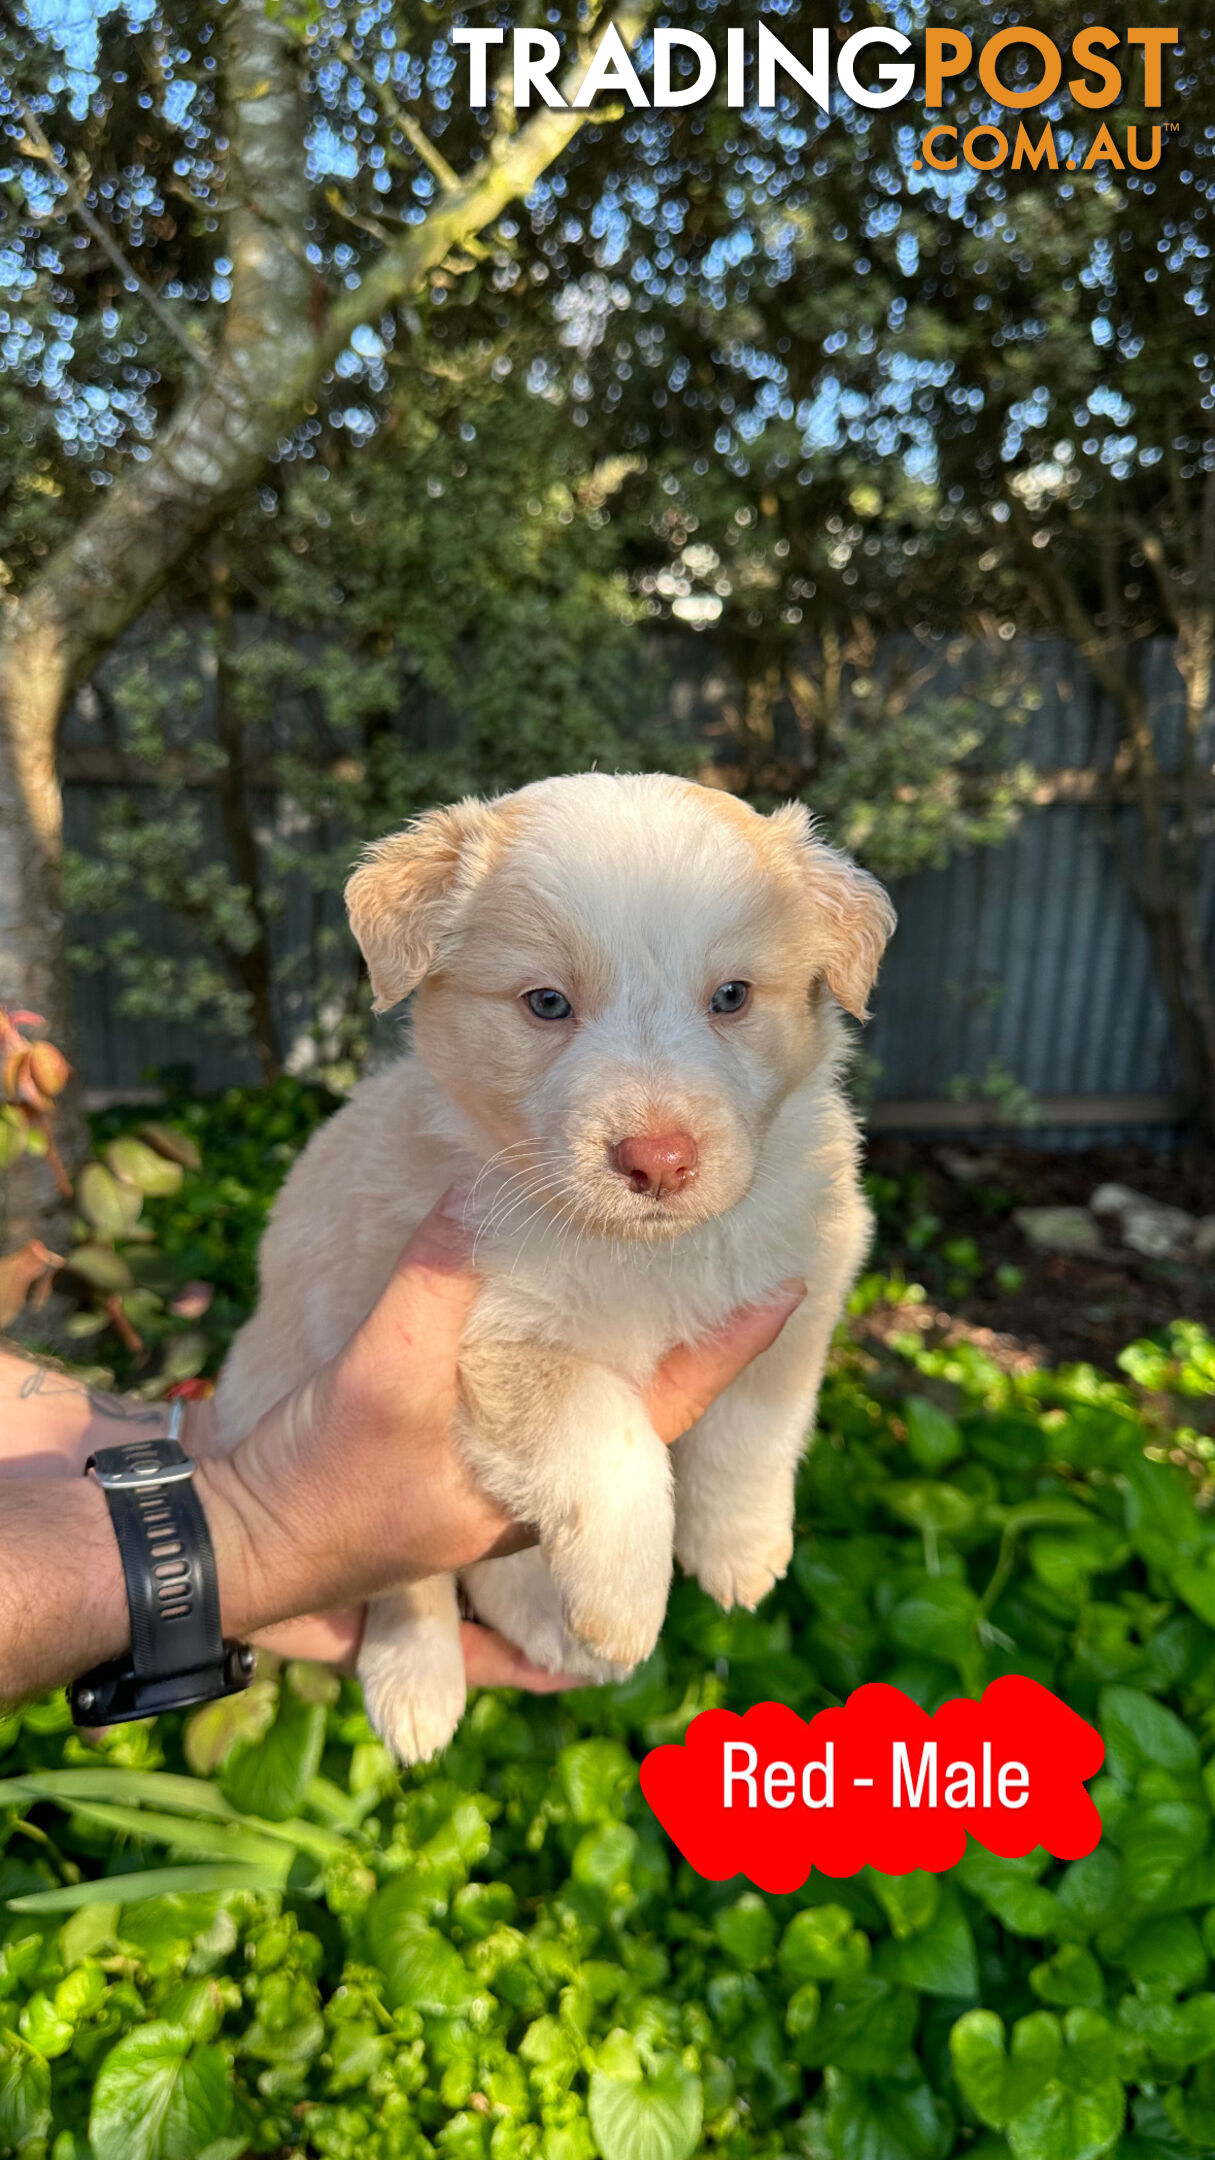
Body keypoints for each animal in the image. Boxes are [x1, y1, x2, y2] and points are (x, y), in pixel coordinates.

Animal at [215, 773, 890, 1753]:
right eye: (545, 1004)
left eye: (731, 996)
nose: (658, 1162)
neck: (641, 1255)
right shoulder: (494, 1336)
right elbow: (606, 1435)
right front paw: (626, 1606)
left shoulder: (805, 1285)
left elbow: (754, 1431)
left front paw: (740, 1551)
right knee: (408, 1581)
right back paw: (419, 1685)